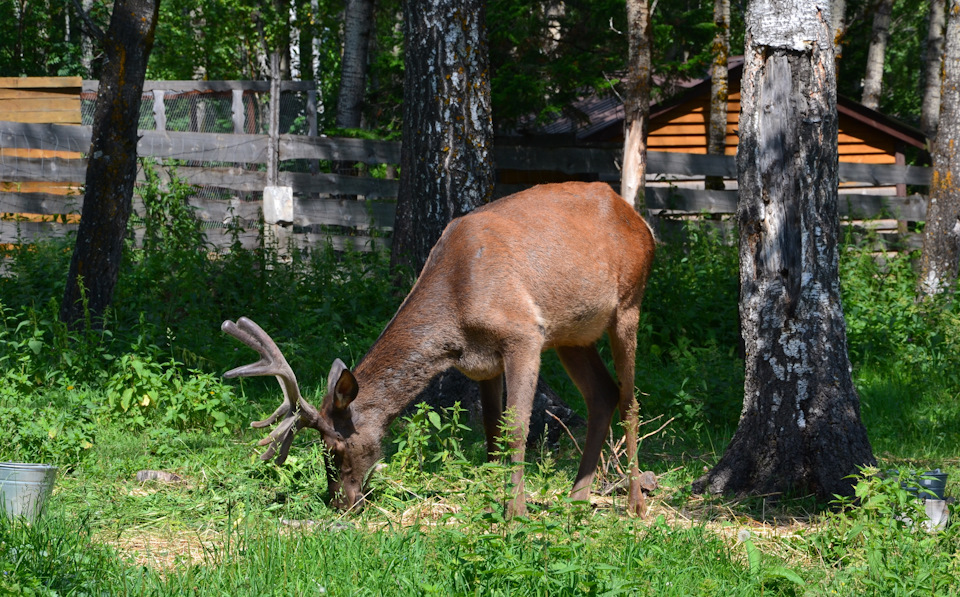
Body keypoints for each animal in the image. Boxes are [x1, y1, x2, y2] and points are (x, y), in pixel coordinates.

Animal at [224, 179, 656, 516]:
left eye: (335, 448)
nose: (340, 503)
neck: (457, 310)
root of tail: (643, 224)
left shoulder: (524, 333)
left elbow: (517, 427)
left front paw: (515, 513)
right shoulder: (485, 360)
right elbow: (490, 429)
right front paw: (490, 498)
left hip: (628, 305)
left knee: (630, 400)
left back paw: (635, 504)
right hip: (573, 335)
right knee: (603, 393)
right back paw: (577, 499)